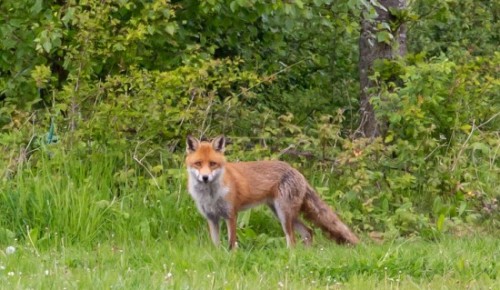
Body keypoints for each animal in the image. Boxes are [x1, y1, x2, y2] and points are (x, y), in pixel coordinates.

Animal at [185, 135, 360, 248]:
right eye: (198, 163)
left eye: (212, 164)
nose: (205, 177)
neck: (211, 195)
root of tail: (296, 171)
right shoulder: (212, 218)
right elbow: (215, 245)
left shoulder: (231, 215)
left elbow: (231, 244)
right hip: (281, 213)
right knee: (308, 232)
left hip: (284, 214)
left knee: (292, 240)